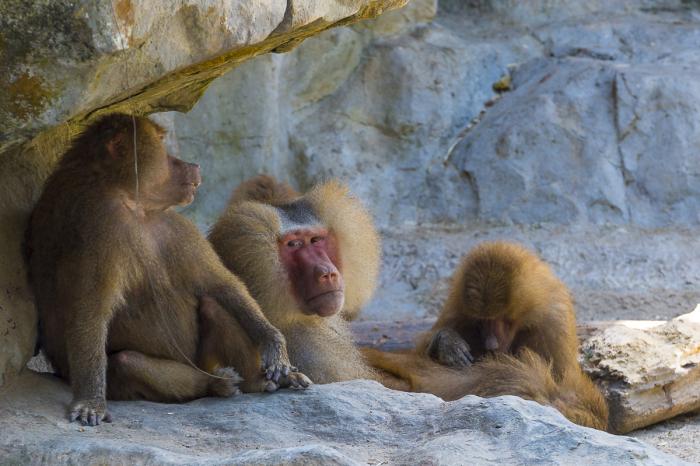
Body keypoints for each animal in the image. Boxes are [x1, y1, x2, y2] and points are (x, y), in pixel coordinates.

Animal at [26, 114, 309, 427]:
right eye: (162, 142)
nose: (192, 165)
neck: (129, 200)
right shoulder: (97, 223)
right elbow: (90, 312)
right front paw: (90, 401)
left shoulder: (176, 225)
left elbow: (221, 285)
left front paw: (274, 345)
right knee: (127, 363)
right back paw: (217, 384)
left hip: (202, 358)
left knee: (215, 305)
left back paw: (257, 381)